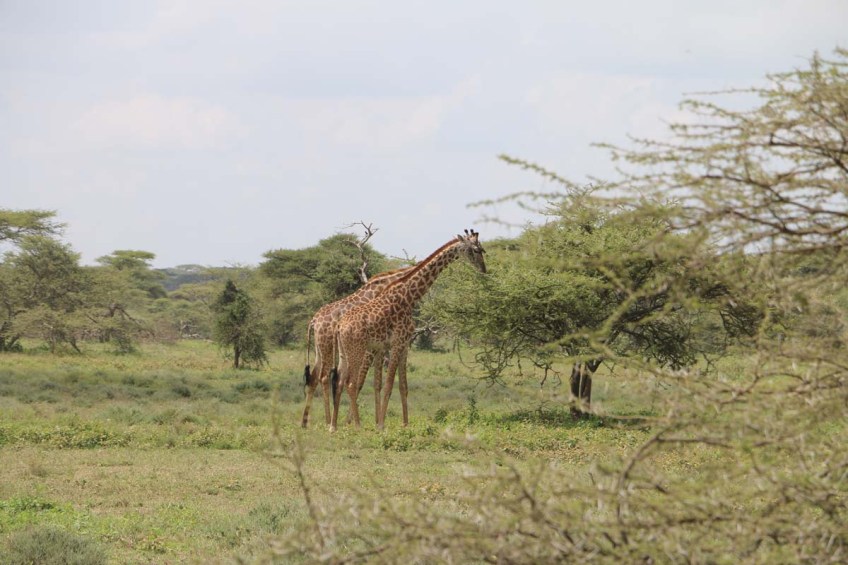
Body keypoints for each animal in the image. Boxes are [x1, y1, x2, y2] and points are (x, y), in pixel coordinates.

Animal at [301, 266, 412, 428]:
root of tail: (313, 321)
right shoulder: (371, 347)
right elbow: (361, 381)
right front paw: (355, 421)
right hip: (327, 347)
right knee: (324, 377)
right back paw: (328, 421)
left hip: (319, 349)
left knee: (315, 377)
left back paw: (305, 422)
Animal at [333, 230, 486, 431]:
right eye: (475, 250)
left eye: (482, 249)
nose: (484, 270)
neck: (409, 297)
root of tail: (339, 327)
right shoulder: (396, 342)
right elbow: (389, 384)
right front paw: (381, 425)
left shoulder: (405, 344)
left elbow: (403, 386)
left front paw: (405, 424)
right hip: (357, 351)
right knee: (351, 383)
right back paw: (357, 426)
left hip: (344, 353)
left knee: (340, 382)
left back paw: (333, 426)